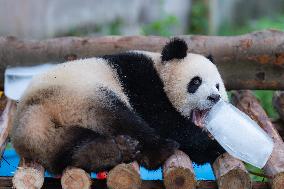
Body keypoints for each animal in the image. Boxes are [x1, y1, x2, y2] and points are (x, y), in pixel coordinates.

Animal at [12, 38, 227, 174]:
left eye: (217, 85)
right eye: (196, 82)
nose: (214, 97)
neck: (160, 68)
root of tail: (34, 109)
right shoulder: (141, 82)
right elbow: (166, 121)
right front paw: (214, 147)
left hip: (53, 132)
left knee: (66, 147)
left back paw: (103, 152)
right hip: (84, 96)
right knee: (123, 118)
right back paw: (158, 151)